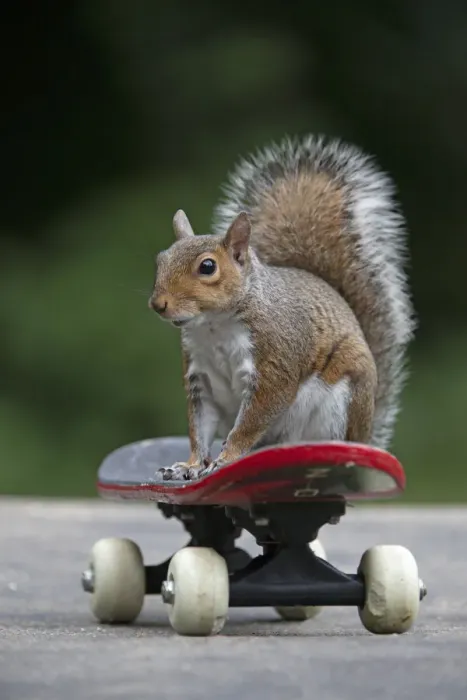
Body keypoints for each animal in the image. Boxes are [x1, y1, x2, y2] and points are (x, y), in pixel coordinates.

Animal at [149, 134, 415, 481]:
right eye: (161, 260)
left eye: (207, 266)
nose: (158, 304)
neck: (214, 327)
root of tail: (366, 435)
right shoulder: (200, 379)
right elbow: (199, 427)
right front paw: (191, 465)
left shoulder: (276, 359)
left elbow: (254, 419)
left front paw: (227, 457)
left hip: (339, 404)